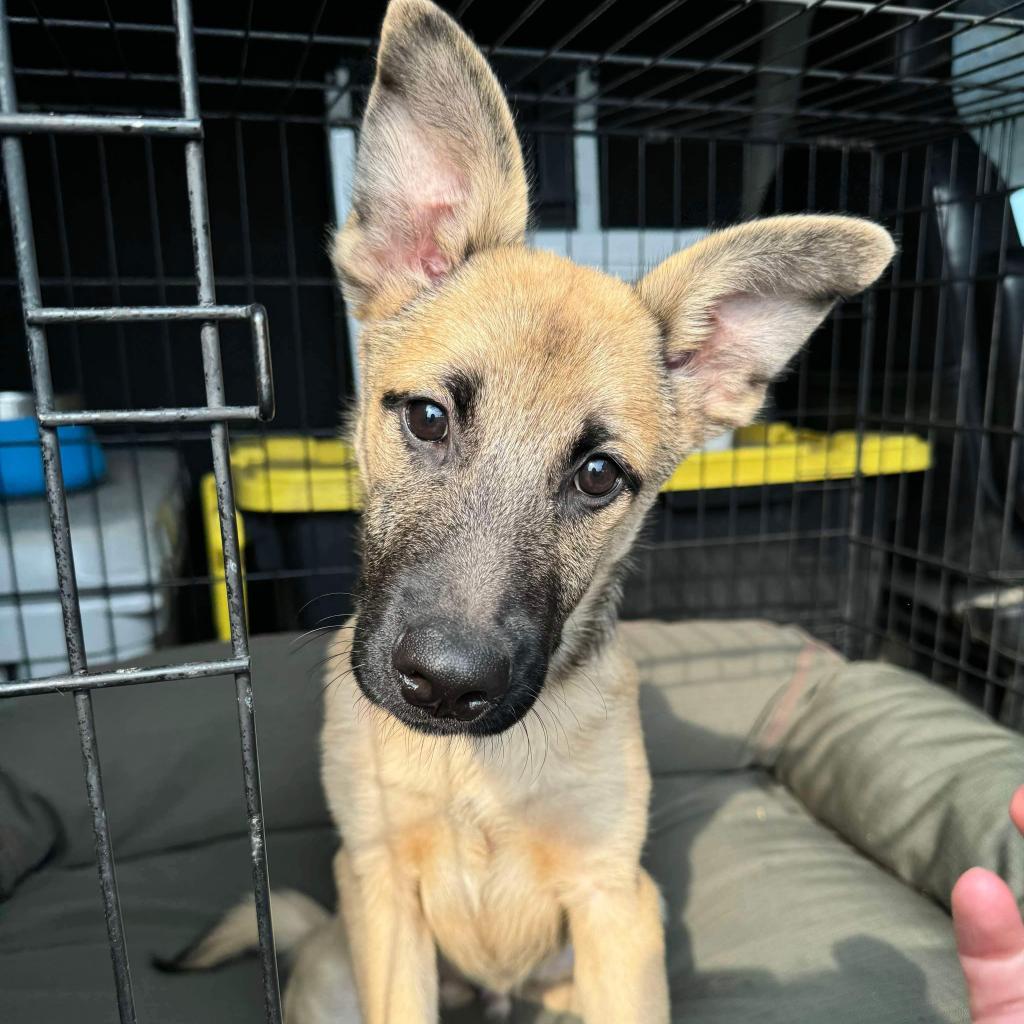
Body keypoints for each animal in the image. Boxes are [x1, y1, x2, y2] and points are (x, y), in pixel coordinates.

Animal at [178, 0, 897, 1015]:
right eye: (428, 417)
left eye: (598, 476)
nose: (447, 686)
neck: (474, 774)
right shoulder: (380, 882)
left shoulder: (616, 901)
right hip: (334, 970)